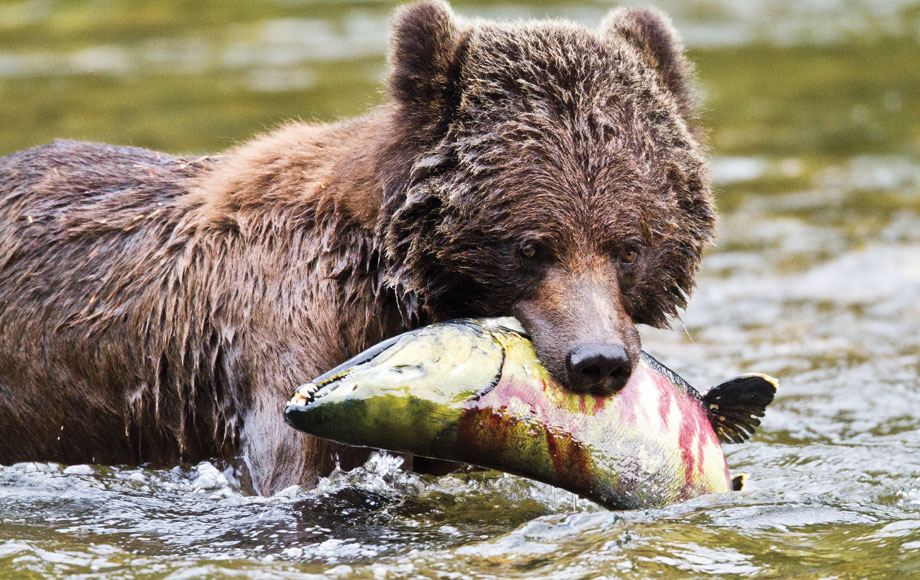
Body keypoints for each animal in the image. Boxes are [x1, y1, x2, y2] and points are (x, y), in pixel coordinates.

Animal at [0, 1, 712, 494]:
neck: (385, 271)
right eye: (532, 247)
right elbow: (291, 471)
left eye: (629, 246)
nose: (599, 360)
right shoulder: (282, 339)